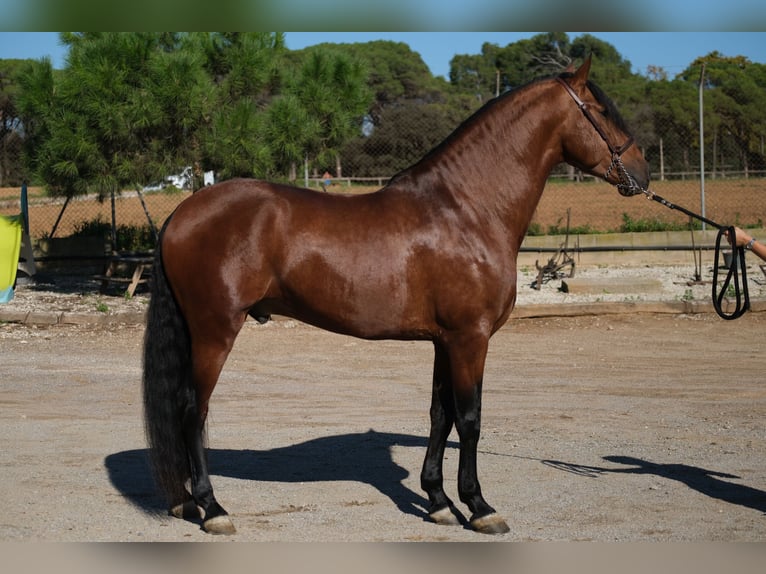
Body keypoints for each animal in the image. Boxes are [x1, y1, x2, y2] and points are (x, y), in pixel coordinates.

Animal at [142, 56, 648, 536]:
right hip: (215, 331)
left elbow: (440, 415)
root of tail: (182, 213)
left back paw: (188, 502)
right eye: (603, 110)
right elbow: (470, 419)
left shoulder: (445, 341)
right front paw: (480, 507)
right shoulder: (471, 338)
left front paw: (439, 502)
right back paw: (212, 508)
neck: (466, 209)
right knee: (192, 411)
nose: (642, 172)